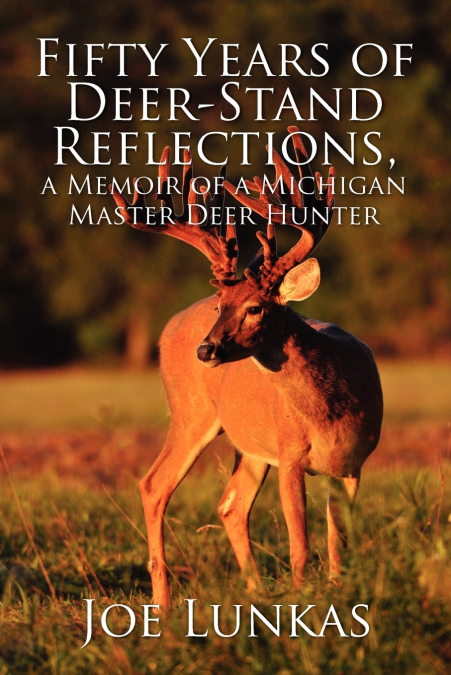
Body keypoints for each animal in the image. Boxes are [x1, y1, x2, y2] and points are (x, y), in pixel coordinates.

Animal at [110, 127, 383, 611]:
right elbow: (300, 547)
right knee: (154, 485)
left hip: (249, 444)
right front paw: (301, 601)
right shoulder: (291, 454)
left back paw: (254, 593)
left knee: (231, 504)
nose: (206, 348)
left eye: (255, 307)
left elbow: (339, 543)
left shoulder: (353, 463)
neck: (331, 411)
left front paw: (336, 594)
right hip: (191, 412)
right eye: (222, 304)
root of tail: (169, 326)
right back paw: (162, 604)